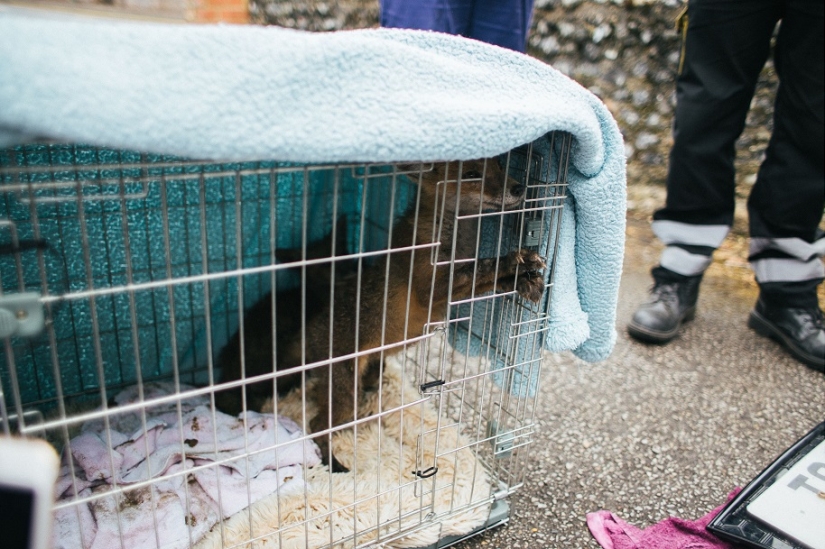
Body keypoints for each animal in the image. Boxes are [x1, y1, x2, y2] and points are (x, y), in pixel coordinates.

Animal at [280, 157, 547, 472]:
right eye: (471, 174)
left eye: (499, 165)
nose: (519, 188)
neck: (453, 237)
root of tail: (311, 330)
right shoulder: (430, 284)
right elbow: (484, 266)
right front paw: (515, 260)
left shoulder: (455, 287)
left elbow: (486, 278)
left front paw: (525, 280)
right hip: (345, 392)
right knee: (317, 425)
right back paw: (334, 465)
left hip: (368, 371)